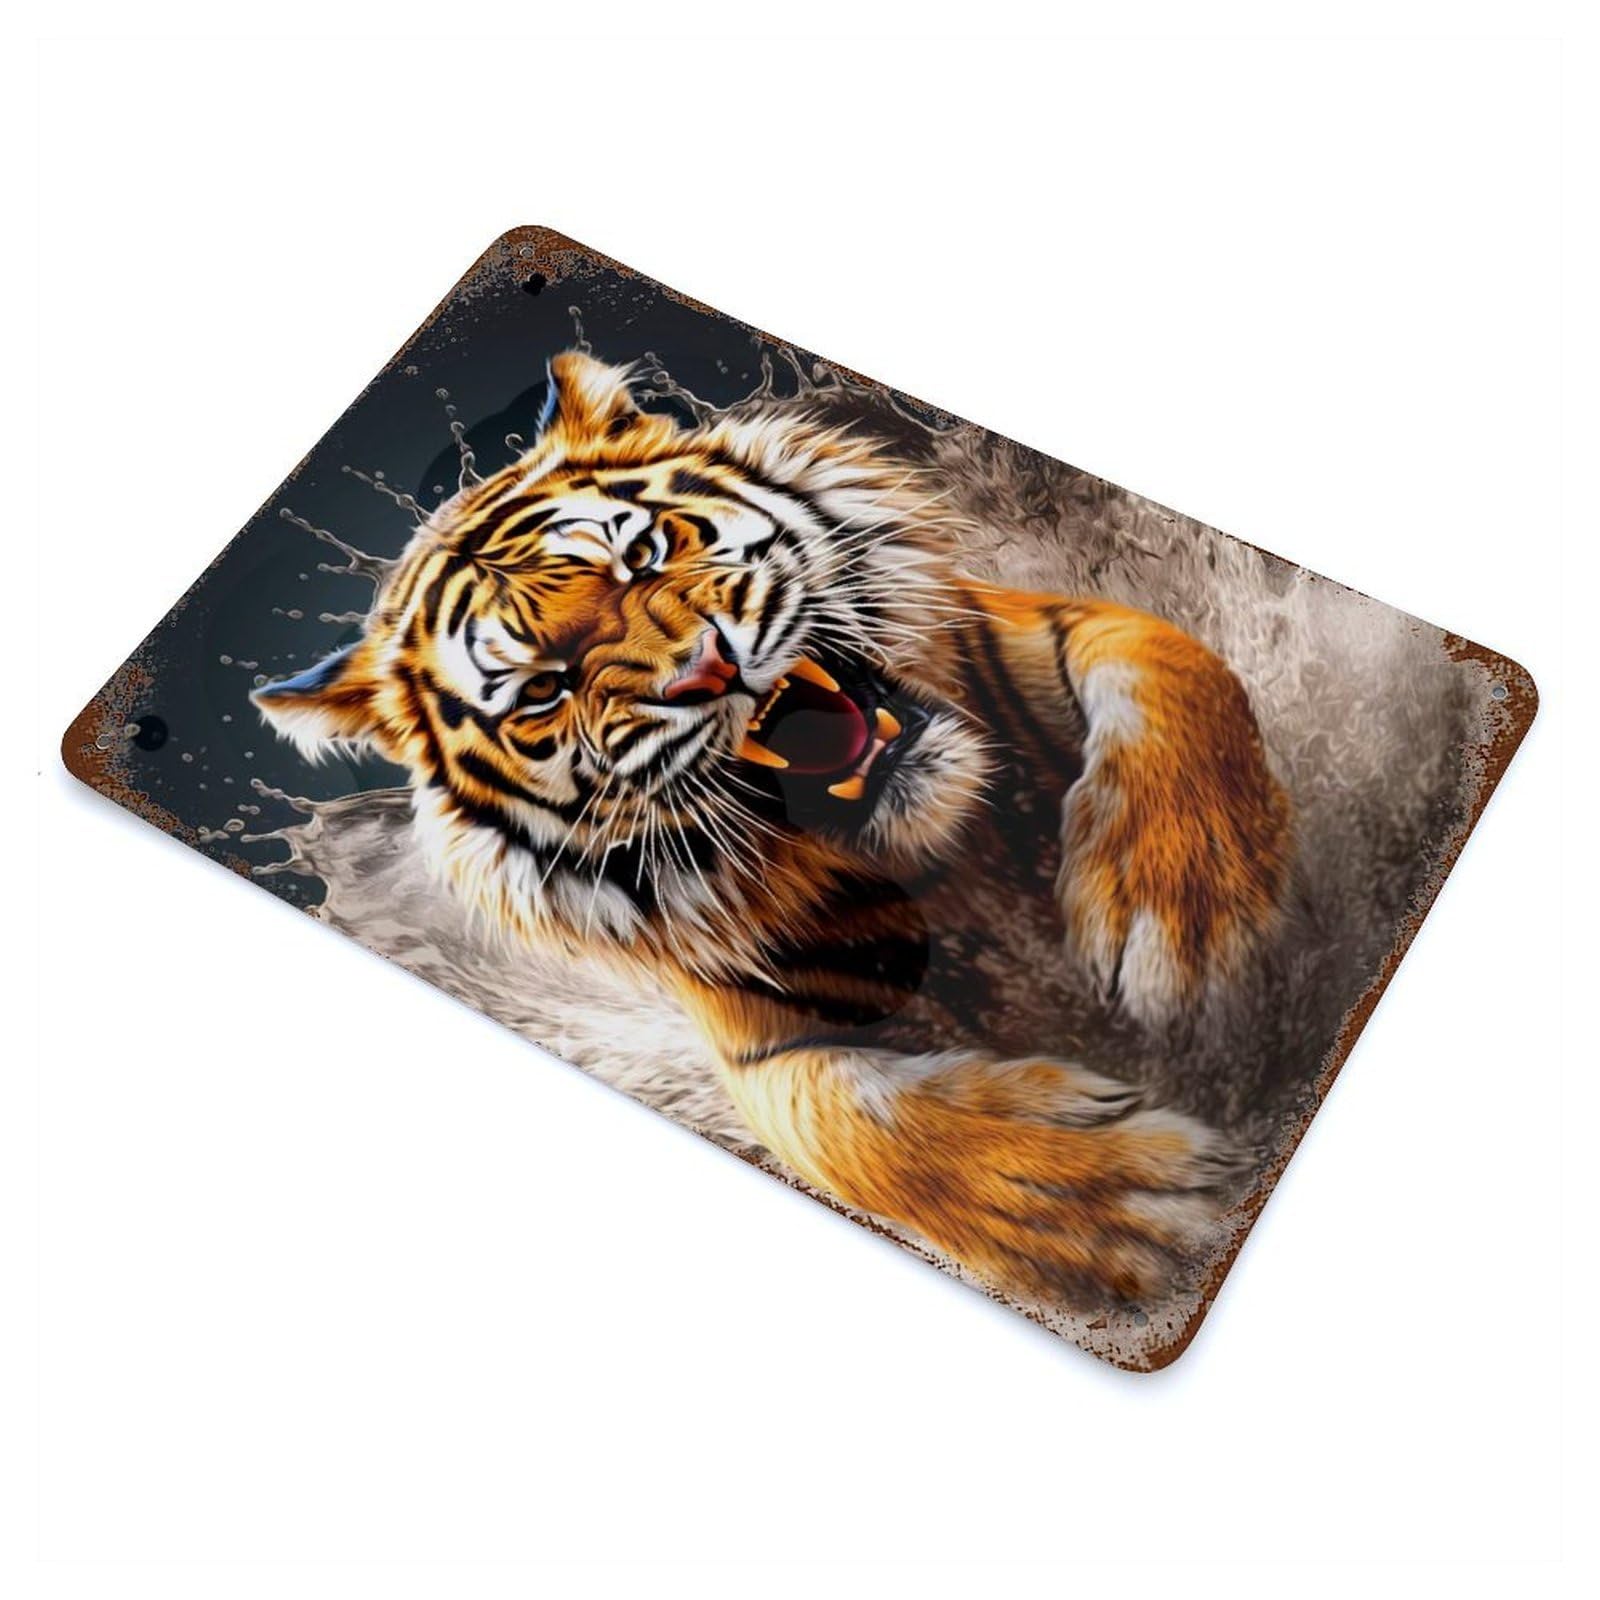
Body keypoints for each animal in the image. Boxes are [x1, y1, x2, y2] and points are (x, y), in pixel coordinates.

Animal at [253, 350, 1292, 1311]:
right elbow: (853, 1133)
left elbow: (1168, 664)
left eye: (640, 556)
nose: (704, 669)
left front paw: (1180, 922)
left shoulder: (1040, 625)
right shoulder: (757, 1044)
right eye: (544, 688)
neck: (945, 855)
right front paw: (1129, 1211)